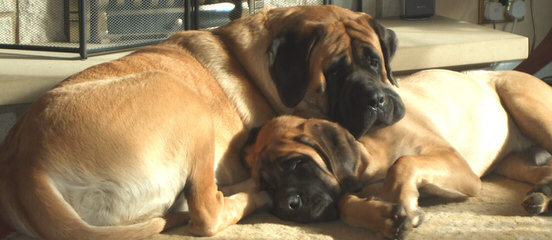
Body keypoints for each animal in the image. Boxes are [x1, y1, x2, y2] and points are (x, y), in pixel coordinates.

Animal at [0, 4, 402, 240]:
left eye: (374, 60)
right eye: (334, 73)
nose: (378, 101)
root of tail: (23, 169)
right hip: (186, 101)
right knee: (206, 211)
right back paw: (252, 193)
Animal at [243, 69, 552, 238]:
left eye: (297, 163)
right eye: (267, 187)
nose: (288, 206)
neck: (369, 149)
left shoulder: (457, 166)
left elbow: (403, 163)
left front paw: (400, 202)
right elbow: (344, 202)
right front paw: (380, 216)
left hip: (525, 105)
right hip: (512, 162)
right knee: (543, 169)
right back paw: (543, 195)